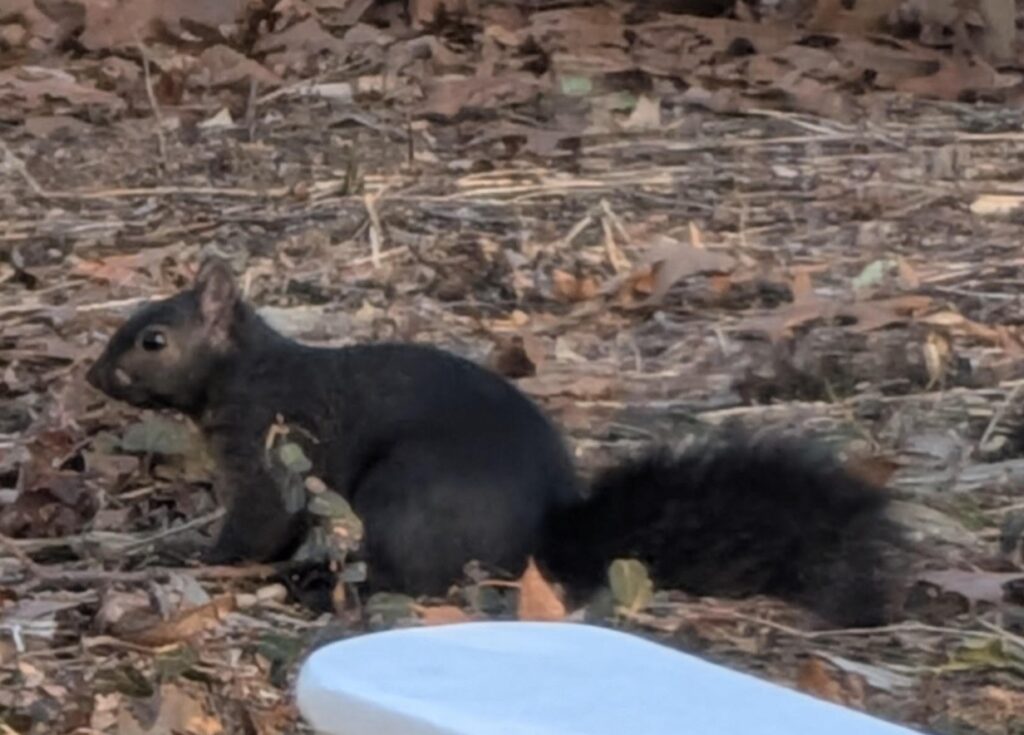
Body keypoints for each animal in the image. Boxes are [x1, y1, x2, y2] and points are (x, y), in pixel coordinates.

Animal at [86, 257, 905, 627]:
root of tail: (540, 538)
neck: (246, 368)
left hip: (404, 500)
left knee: (409, 578)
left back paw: (317, 587)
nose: (96, 374)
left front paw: (200, 559)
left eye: (154, 339)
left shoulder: (269, 445)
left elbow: (257, 522)